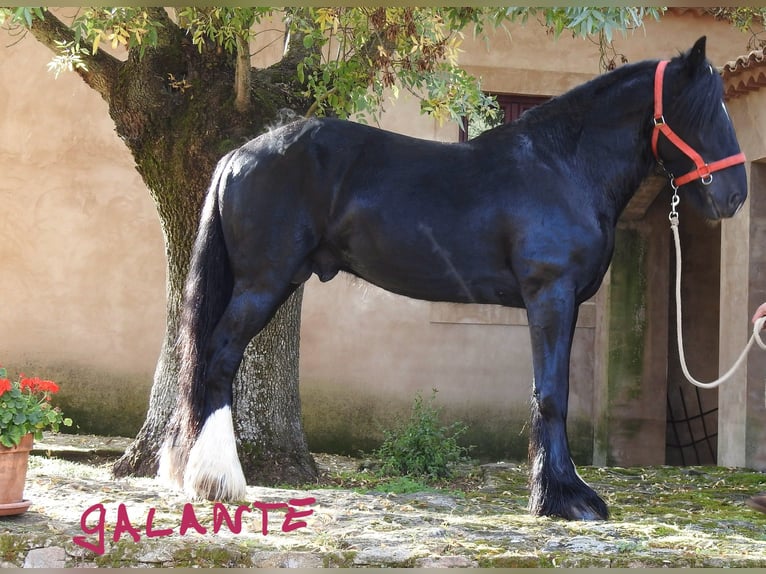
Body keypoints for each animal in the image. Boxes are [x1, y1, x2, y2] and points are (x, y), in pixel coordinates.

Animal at [160, 36, 744, 520]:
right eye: (703, 111)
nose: (735, 195)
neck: (563, 166)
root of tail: (237, 156)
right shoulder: (550, 296)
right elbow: (553, 394)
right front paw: (565, 499)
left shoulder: (562, 301)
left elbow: (546, 391)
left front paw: (557, 492)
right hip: (262, 283)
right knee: (218, 360)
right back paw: (218, 480)